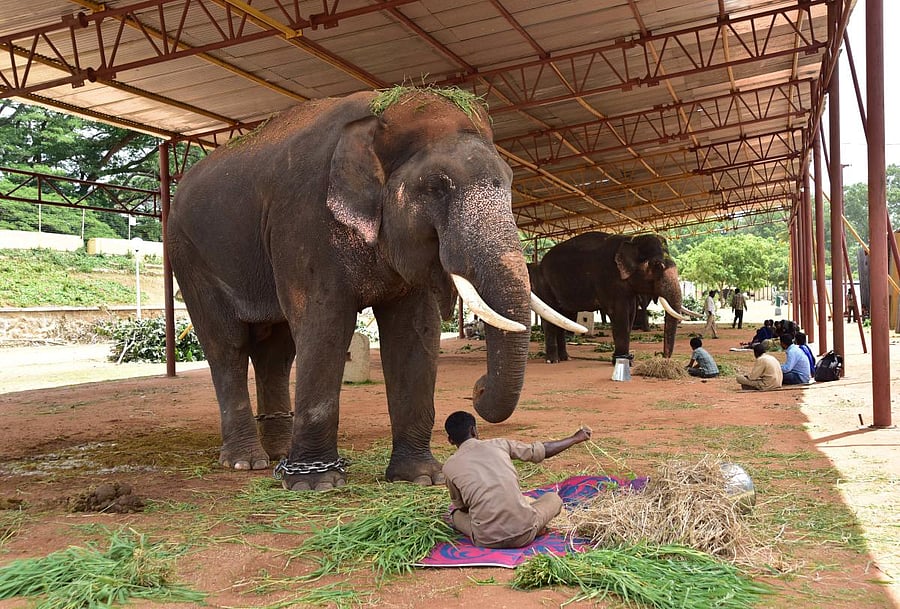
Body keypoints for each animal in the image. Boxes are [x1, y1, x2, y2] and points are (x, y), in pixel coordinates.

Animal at [167, 88, 583, 491]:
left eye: (511, 183)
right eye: (436, 187)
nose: (477, 390)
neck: (381, 115)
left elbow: (415, 331)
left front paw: (420, 477)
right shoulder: (303, 220)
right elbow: (325, 324)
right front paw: (316, 484)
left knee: (276, 351)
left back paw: (278, 453)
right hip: (189, 256)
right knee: (228, 346)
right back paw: (245, 461)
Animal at [528, 232, 686, 364]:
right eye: (658, 265)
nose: (661, 355)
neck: (631, 239)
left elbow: (631, 314)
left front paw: (625, 359)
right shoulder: (608, 278)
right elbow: (618, 313)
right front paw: (620, 361)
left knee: (562, 317)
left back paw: (565, 358)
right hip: (544, 285)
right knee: (551, 319)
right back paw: (552, 361)